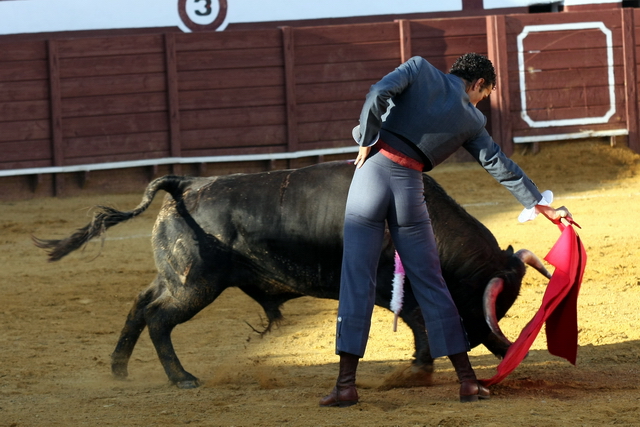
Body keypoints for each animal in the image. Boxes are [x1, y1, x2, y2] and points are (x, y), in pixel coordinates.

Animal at [33, 160, 552, 392]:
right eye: (491, 301)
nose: (498, 345)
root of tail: (185, 183)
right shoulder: (388, 285)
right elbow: (420, 319)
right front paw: (416, 370)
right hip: (196, 285)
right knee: (160, 318)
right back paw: (182, 378)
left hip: (176, 277)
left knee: (140, 304)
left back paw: (119, 368)